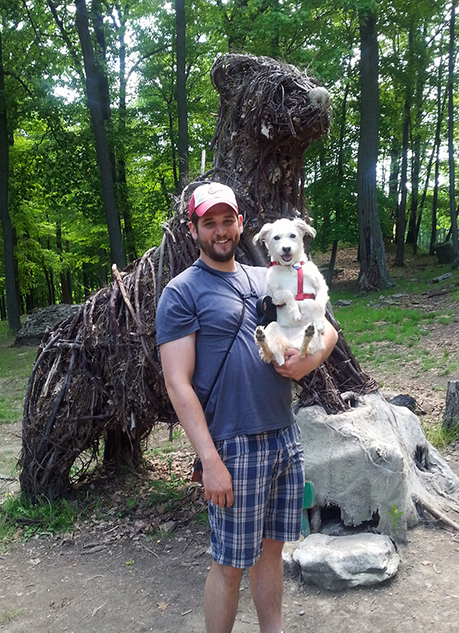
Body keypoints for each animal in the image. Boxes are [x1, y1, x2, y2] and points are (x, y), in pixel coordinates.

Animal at [253, 217, 328, 366]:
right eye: (276, 237)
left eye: (293, 235)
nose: (286, 248)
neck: (291, 267)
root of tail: (291, 344)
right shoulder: (275, 296)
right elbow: (287, 293)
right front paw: (295, 312)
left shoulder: (321, 286)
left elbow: (318, 304)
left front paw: (320, 321)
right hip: (272, 326)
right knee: (269, 355)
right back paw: (261, 338)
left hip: (315, 340)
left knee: (303, 353)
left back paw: (308, 334)